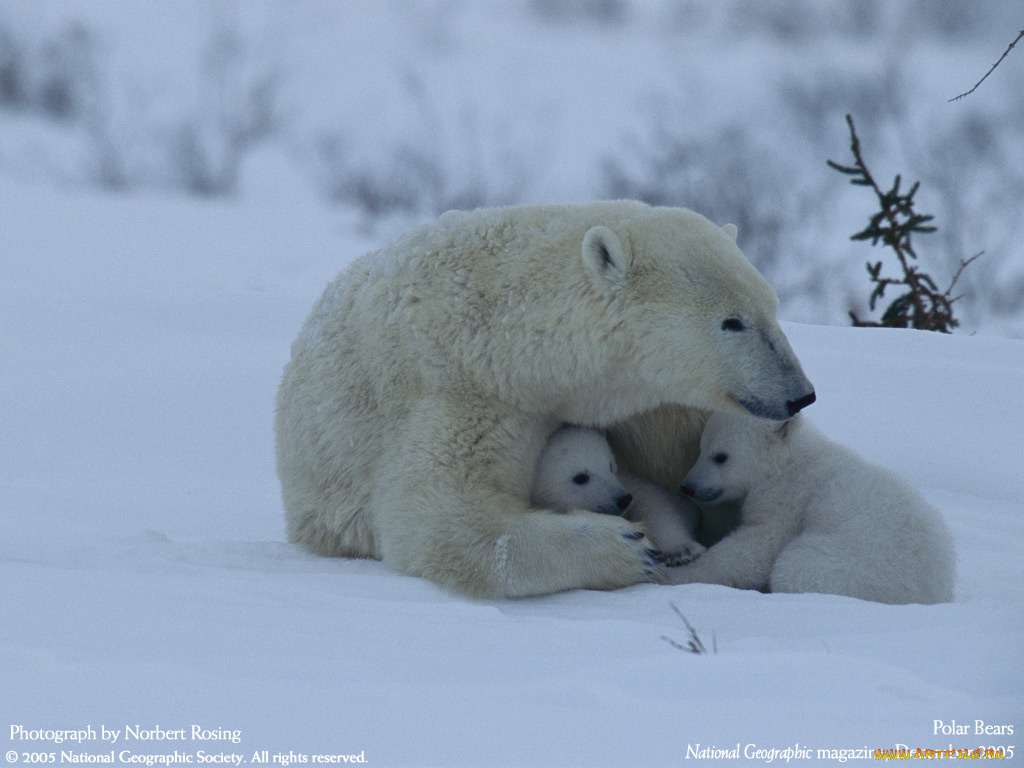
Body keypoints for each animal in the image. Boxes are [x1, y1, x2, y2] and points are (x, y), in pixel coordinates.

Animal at [274, 201, 815, 598]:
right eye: (732, 321)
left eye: (772, 307)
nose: (800, 395)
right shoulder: (464, 390)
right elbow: (440, 519)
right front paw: (624, 547)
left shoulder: (650, 405)